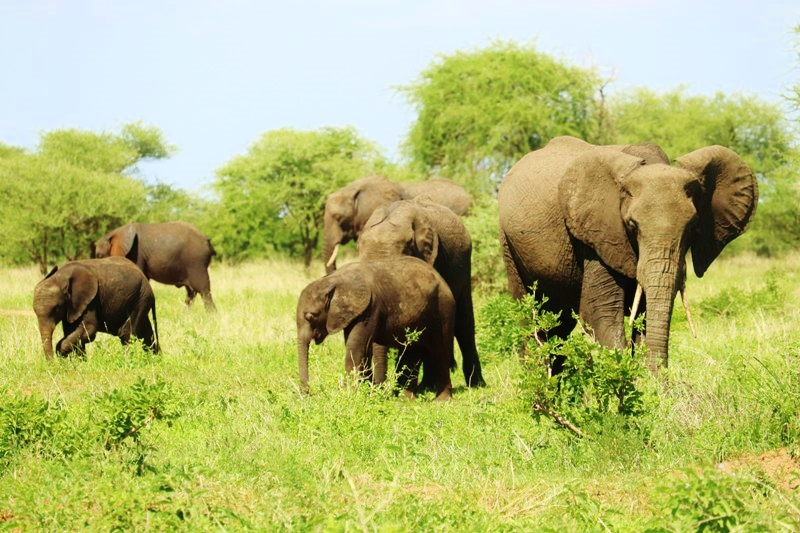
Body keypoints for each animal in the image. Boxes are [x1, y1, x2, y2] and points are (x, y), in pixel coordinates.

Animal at [296, 256, 456, 401]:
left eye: (311, 316)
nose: (308, 394)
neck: (331, 281)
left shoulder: (371, 308)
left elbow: (356, 347)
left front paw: (350, 395)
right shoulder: (355, 312)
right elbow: (362, 348)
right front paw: (365, 393)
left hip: (443, 309)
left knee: (440, 351)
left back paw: (441, 401)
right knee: (412, 351)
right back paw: (405, 400)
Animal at [498, 135, 758, 372]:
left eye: (693, 227)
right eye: (632, 225)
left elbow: (646, 315)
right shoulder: (596, 235)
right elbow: (600, 313)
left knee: (558, 324)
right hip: (508, 242)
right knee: (530, 316)